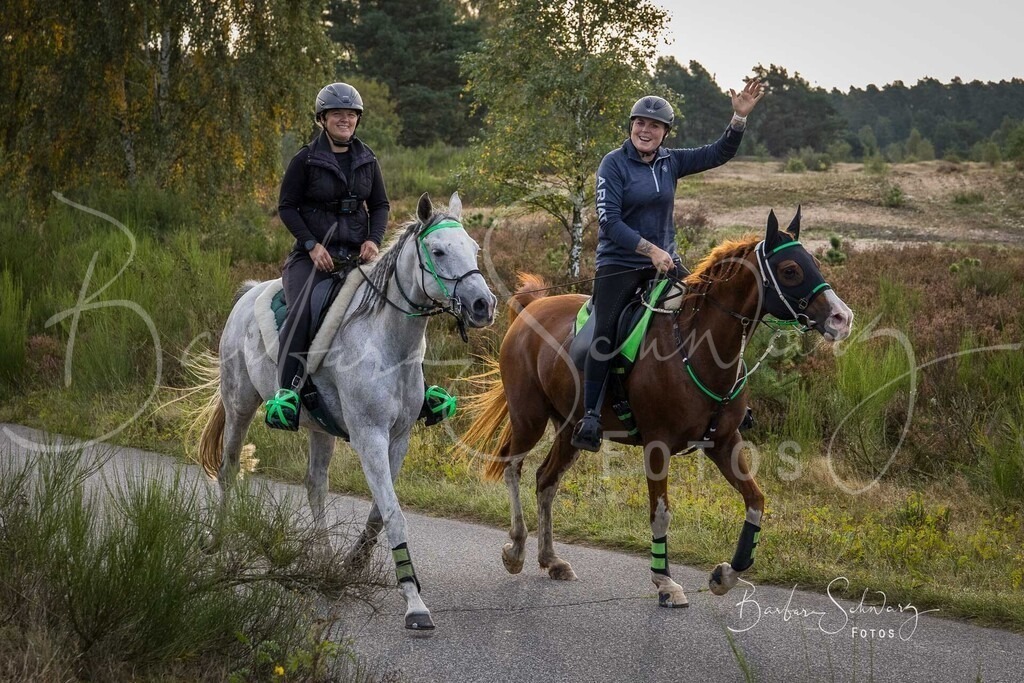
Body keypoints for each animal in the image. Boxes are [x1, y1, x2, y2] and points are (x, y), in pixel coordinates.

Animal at [193, 192, 496, 631]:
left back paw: (323, 558)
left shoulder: (398, 439)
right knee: (229, 470)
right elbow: (393, 513)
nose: (483, 305)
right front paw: (414, 602)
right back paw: (216, 541)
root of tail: (248, 294)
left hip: (318, 429)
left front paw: (353, 564)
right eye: (438, 251)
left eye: (473, 248)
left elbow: (378, 514)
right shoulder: (370, 437)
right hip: (239, 406)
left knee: (315, 485)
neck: (387, 343)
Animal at [461, 209, 853, 607]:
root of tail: (530, 309)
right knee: (512, 467)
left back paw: (551, 560)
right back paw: (516, 550)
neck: (698, 347)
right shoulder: (658, 445)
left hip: (570, 430)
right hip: (529, 417)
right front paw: (665, 582)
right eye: (790, 270)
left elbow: (756, 500)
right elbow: (661, 514)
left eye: (814, 262)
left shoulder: (724, 443)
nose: (842, 318)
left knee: (546, 481)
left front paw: (725, 574)